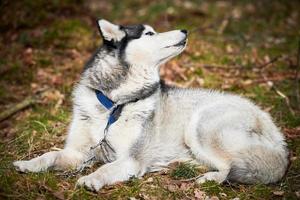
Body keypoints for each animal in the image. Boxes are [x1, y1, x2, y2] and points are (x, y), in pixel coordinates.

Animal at [13, 19, 288, 191]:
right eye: (149, 34)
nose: (185, 30)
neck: (113, 104)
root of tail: (275, 132)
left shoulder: (131, 159)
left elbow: (105, 169)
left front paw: (91, 179)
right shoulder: (77, 152)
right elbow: (50, 155)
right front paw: (29, 164)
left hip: (200, 126)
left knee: (228, 168)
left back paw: (208, 178)